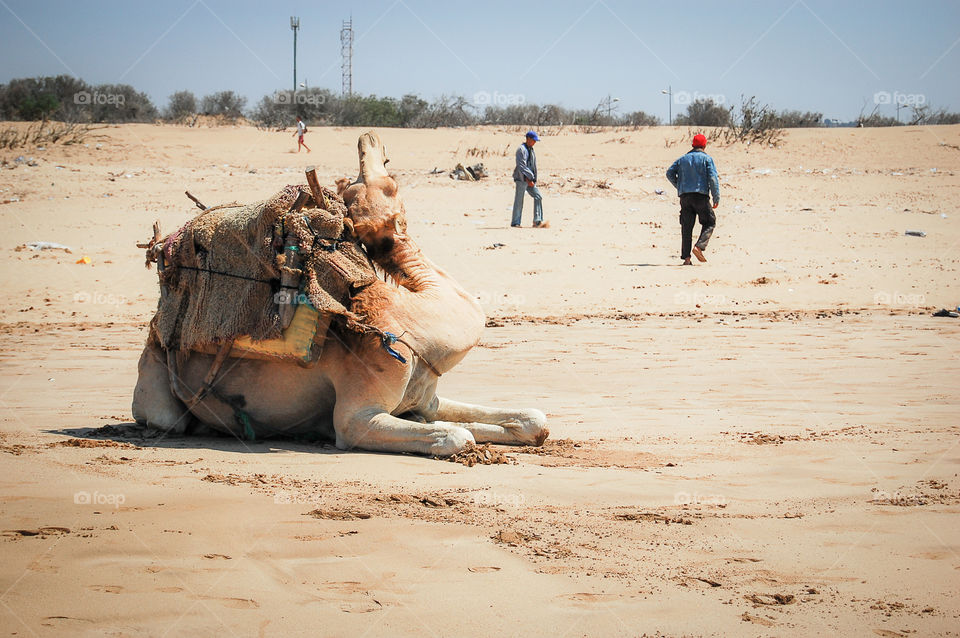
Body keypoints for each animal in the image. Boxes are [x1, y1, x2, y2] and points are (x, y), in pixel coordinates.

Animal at [132, 132, 548, 456]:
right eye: (387, 184)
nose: (369, 138)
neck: (419, 328)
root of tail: (156, 330)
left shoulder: (427, 400)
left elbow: (534, 420)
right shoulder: (357, 417)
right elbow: (457, 437)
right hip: (157, 385)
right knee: (166, 419)